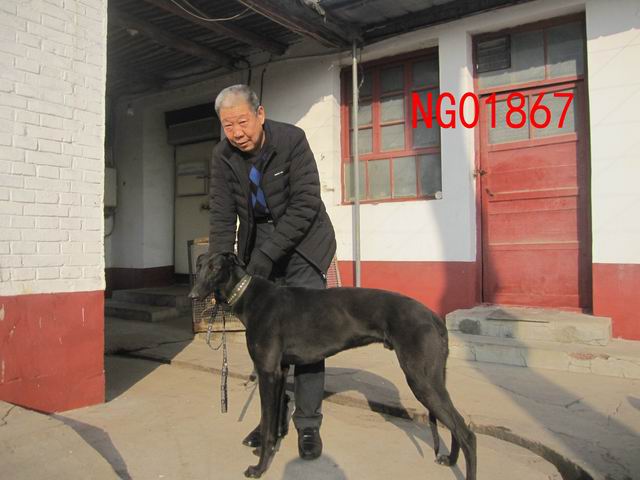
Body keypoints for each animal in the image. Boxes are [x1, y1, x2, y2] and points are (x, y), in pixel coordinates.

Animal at [189, 252, 477, 479]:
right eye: (199, 265)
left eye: (215, 267)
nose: (192, 295)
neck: (250, 295)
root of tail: (433, 316)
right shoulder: (280, 371)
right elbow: (273, 419)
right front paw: (265, 451)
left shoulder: (267, 372)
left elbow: (268, 421)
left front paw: (259, 468)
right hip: (433, 379)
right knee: (455, 424)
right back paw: (450, 460)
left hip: (421, 380)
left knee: (467, 433)